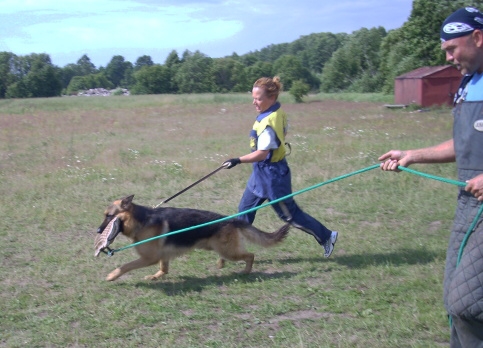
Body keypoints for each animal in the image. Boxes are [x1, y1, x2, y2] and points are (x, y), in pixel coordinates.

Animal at [96, 194, 290, 282]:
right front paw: (156, 276)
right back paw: (221, 264)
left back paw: (246, 271)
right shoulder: (162, 256)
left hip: (228, 251)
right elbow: (164, 268)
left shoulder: (149, 258)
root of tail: (231, 219)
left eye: (109, 216)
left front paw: (112, 275)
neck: (140, 220)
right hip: (219, 247)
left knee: (250, 255)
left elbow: (125, 266)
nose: (98, 231)